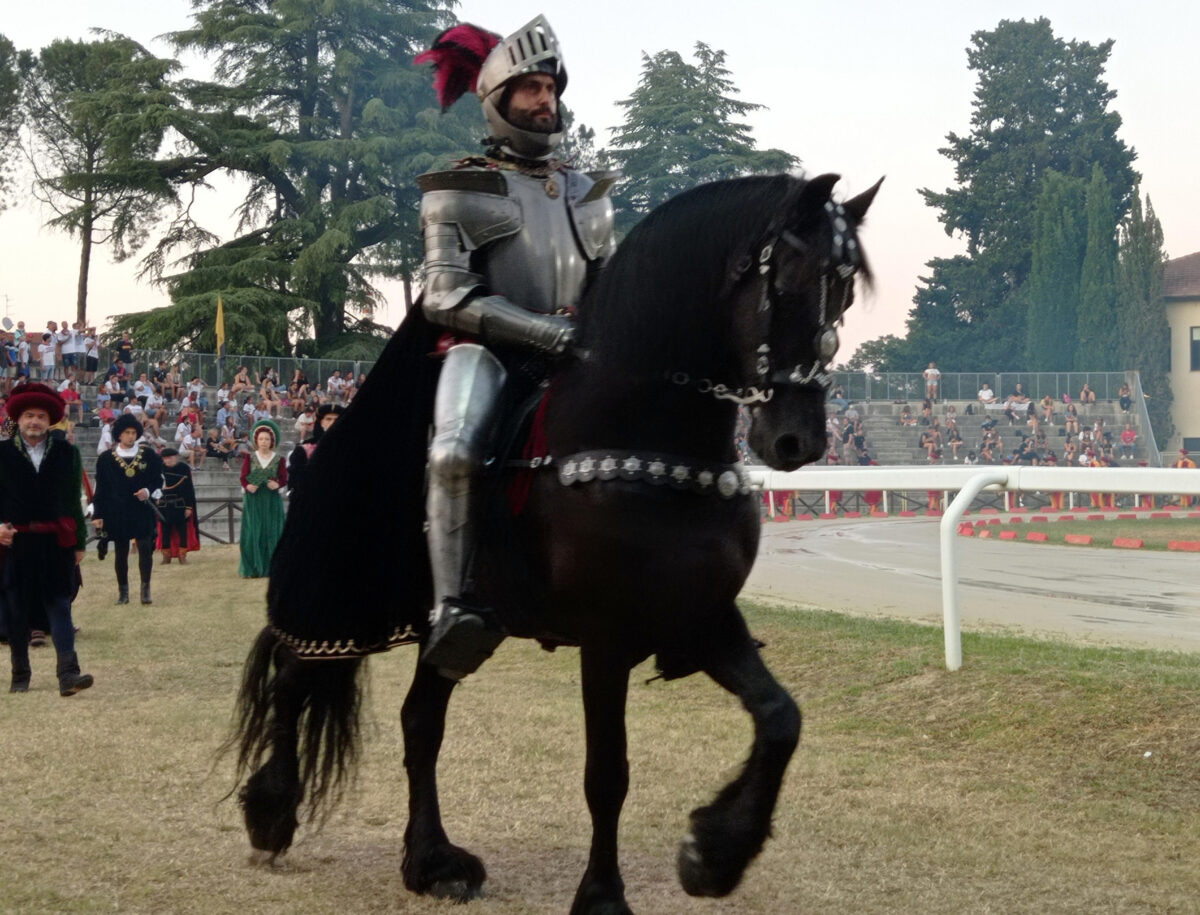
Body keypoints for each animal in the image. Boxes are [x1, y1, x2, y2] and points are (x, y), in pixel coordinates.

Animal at [226, 172, 883, 912]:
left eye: (845, 291)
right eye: (789, 284)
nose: (797, 441)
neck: (651, 444)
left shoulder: (703, 618)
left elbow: (779, 718)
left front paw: (714, 852)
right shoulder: (607, 637)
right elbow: (608, 772)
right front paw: (602, 895)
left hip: (441, 633)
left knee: (419, 721)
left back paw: (431, 861)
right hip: (345, 597)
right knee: (294, 672)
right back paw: (272, 810)